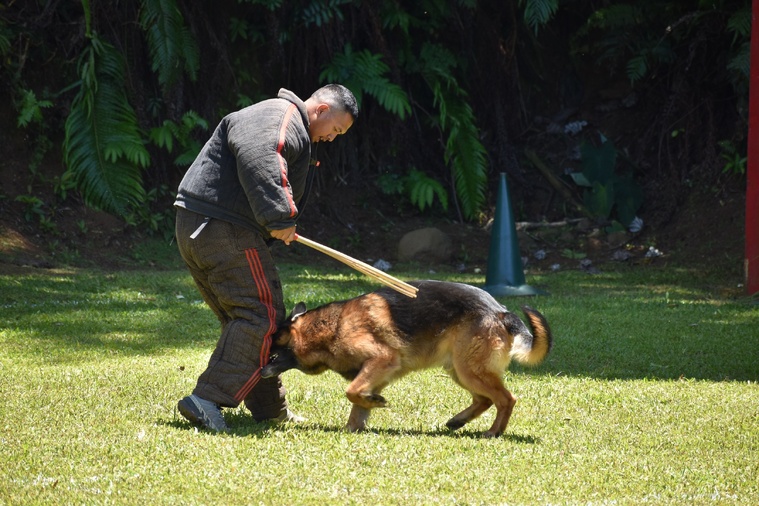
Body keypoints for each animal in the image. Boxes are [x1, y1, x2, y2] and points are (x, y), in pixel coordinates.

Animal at [262, 278, 552, 436]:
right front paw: (354, 426)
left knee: (505, 399)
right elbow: (357, 403)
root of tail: (501, 311)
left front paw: (373, 404)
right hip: (460, 370)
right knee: (484, 399)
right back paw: (458, 420)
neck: (331, 327)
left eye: (272, 355)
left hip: (469, 369)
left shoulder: (382, 359)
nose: (260, 373)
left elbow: (351, 391)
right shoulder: (375, 373)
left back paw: (493, 432)